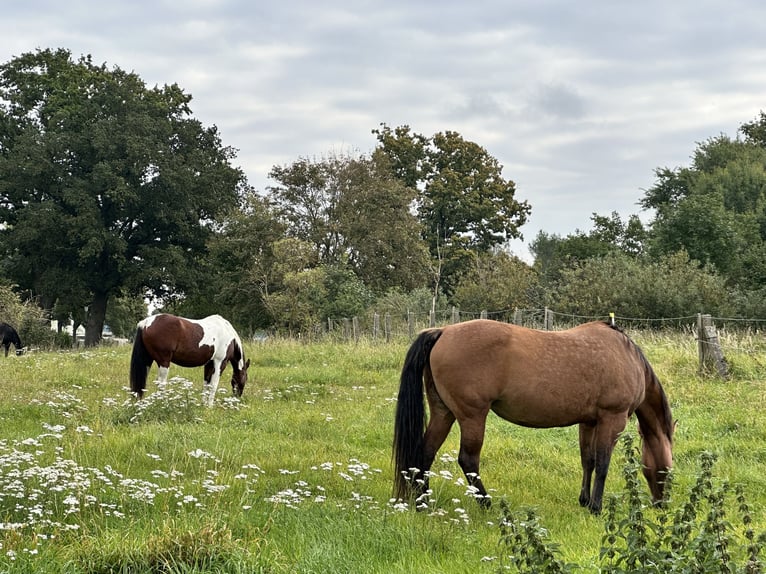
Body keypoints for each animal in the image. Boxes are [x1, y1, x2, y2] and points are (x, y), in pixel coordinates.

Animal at [392, 319, 674, 514]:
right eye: (667, 470)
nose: (662, 504)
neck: (627, 356)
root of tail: (443, 331)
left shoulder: (589, 422)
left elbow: (589, 461)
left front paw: (584, 501)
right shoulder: (612, 419)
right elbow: (603, 464)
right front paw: (596, 507)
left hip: (444, 413)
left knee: (426, 453)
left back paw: (423, 503)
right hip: (472, 416)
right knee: (468, 460)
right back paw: (486, 504)